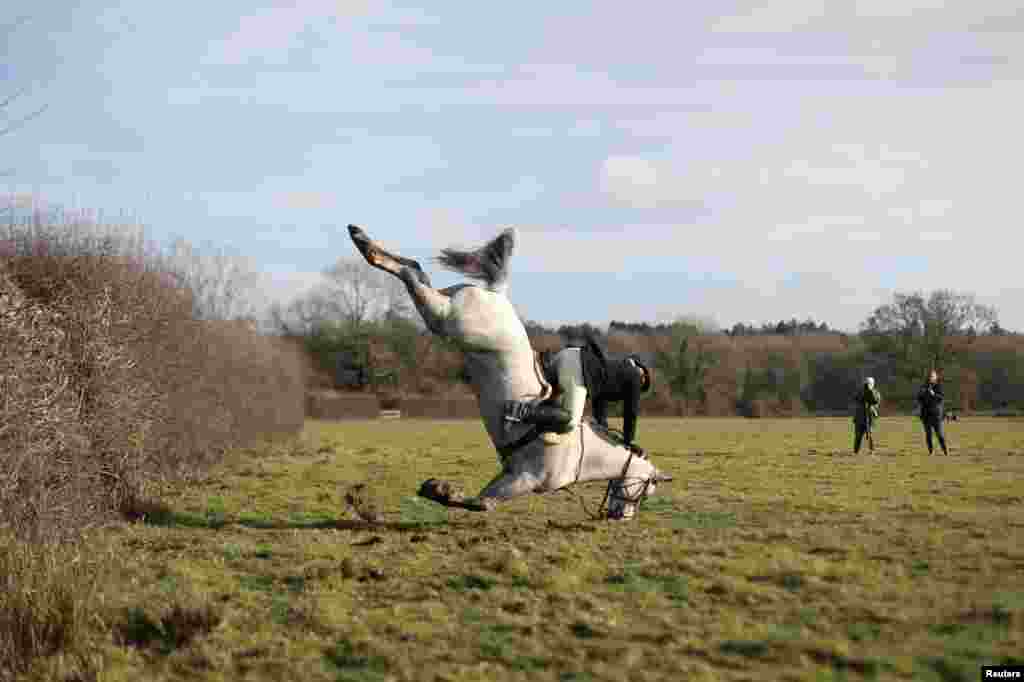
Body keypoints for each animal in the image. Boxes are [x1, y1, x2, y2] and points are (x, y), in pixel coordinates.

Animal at [348, 223, 675, 516]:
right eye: (646, 490)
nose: (620, 516)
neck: (582, 456)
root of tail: (498, 292)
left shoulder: (511, 474)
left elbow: (483, 502)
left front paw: (436, 489)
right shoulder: (523, 479)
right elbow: (480, 504)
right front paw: (439, 489)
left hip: (445, 310)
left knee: (416, 270)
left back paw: (363, 239)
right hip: (446, 319)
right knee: (410, 276)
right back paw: (364, 244)